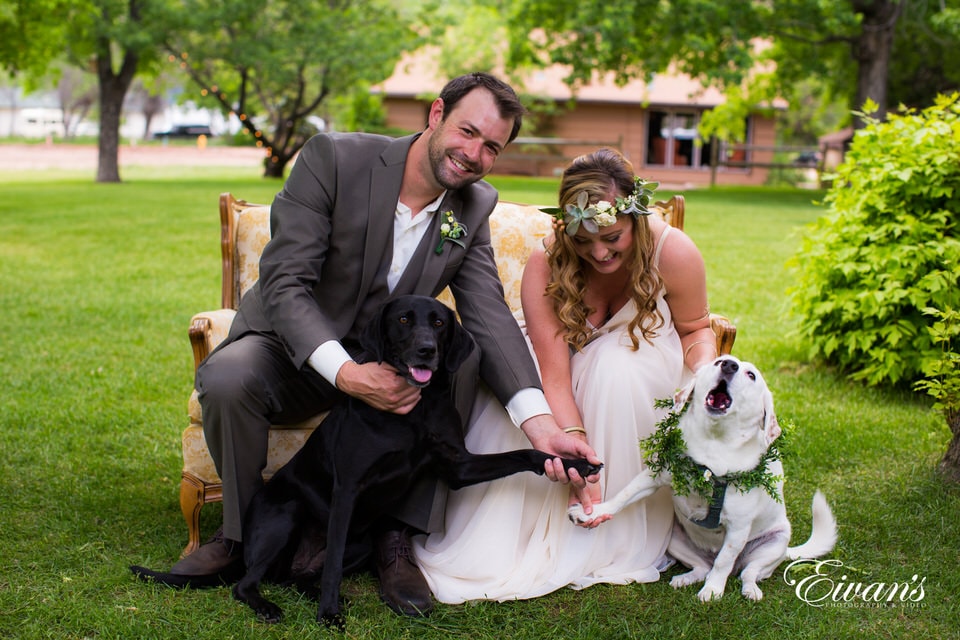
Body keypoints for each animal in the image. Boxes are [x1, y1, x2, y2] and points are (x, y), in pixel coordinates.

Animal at [133, 296, 600, 632]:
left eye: (439, 323)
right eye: (404, 320)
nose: (427, 352)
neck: (416, 409)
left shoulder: (458, 466)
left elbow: (525, 454)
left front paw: (573, 462)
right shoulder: (349, 488)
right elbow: (332, 563)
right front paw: (328, 614)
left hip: (359, 540)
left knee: (302, 576)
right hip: (286, 513)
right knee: (249, 581)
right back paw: (272, 605)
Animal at [568, 356, 832, 600]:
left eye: (751, 375)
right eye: (718, 361)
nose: (728, 365)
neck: (712, 444)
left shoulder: (738, 529)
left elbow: (724, 562)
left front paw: (713, 590)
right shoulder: (654, 476)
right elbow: (623, 496)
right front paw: (593, 512)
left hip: (774, 545)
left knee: (746, 572)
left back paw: (750, 589)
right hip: (674, 538)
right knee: (703, 567)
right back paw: (684, 578)